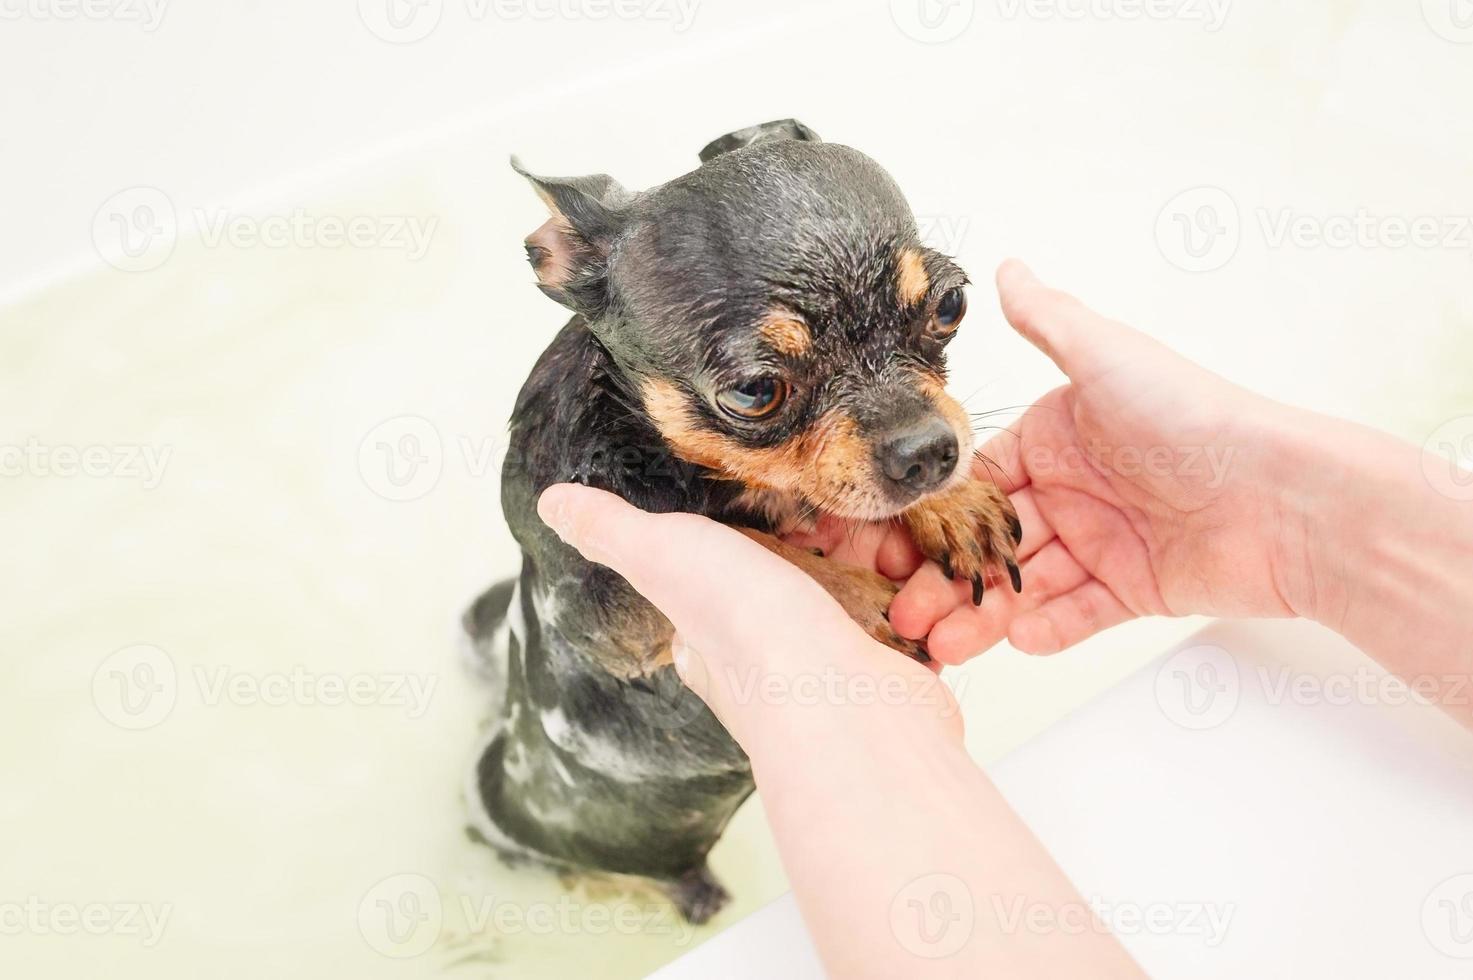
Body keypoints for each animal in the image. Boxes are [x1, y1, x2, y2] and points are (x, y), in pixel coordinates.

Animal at [465, 118, 1019, 919]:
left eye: (950, 308)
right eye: (755, 391)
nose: (928, 454)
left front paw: (955, 503)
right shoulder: (610, 617)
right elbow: (756, 545)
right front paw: (856, 598)